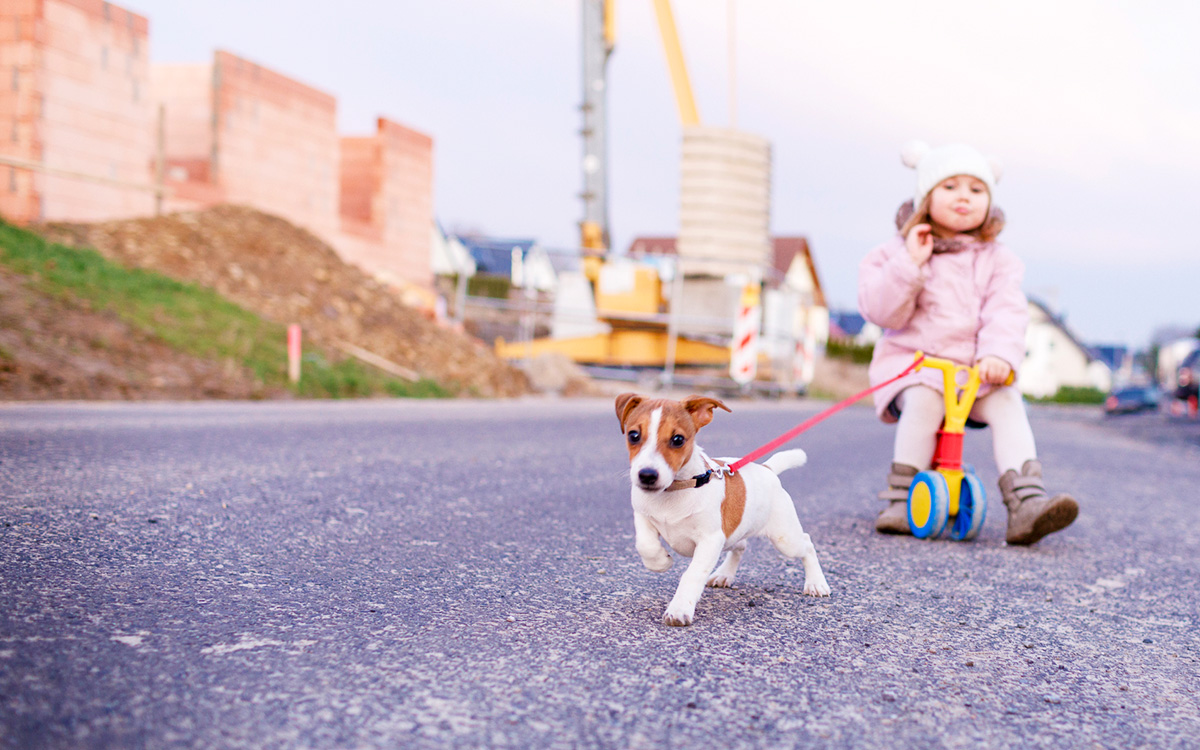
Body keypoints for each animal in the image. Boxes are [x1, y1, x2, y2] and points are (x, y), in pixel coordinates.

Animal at [614, 391, 830, 624]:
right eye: (633, 435)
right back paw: (724, 574)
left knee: (807, 544)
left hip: (785, 539)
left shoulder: (710, 540)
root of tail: (767, 469)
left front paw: (679, 609)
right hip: (734, 533)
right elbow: (645, 544)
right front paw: (660, 562)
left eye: (678, 439)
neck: (674, 490)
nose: (646, 475)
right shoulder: (642, 514)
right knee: (741, 546)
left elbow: (692, 574)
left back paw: (816, 583)